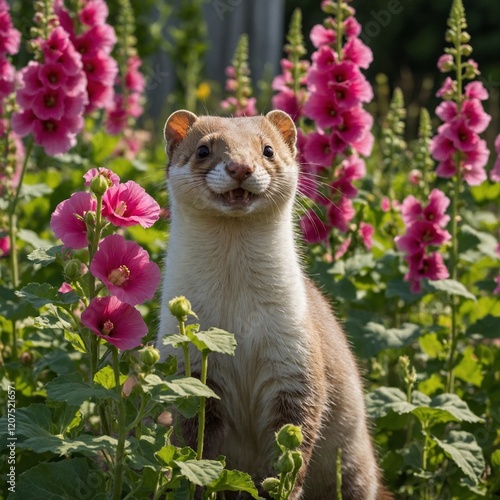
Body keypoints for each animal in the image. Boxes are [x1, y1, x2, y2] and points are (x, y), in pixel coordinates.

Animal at [158, 110, 388, 500]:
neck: (236, 313)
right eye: (203, 149)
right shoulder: (189, 363)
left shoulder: (295, 354)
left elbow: (293, 444)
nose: (240, 167)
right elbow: (196, 443)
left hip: (357, 462)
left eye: (267, 149)